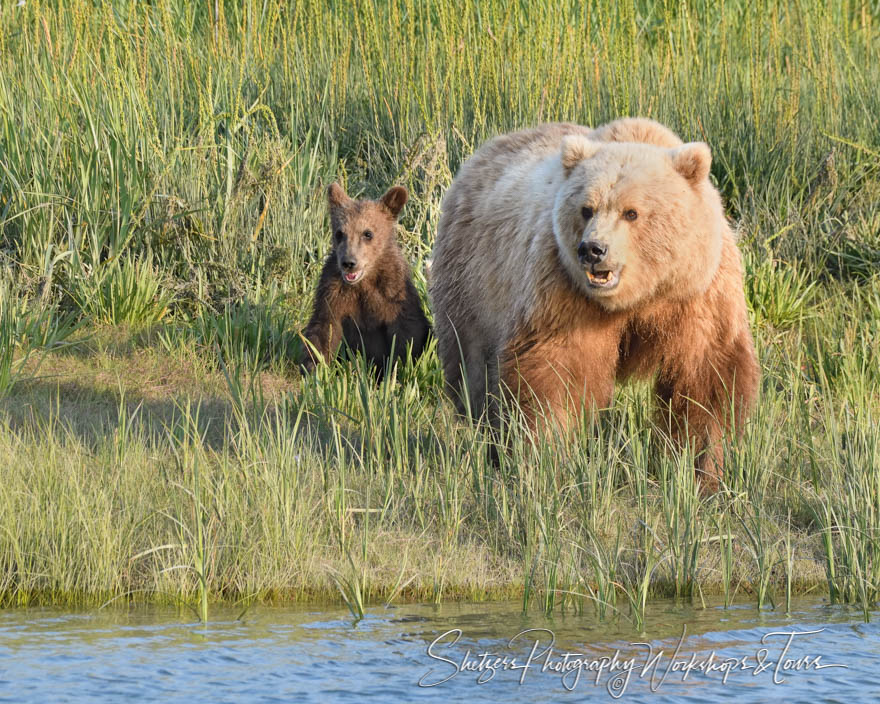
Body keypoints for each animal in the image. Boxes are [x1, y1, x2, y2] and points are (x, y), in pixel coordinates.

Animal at [302, 182, 434, 380]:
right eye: (340, 233)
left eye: (367, 233)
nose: (349, 262)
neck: (364, 280)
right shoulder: (334, 291)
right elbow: (325, 328)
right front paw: (314, 369)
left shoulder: (392, 292)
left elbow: (407, 332)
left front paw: (397, 371)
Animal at [430, 117, 760, 490]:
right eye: (586, 209)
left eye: (631, 212)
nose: (592, 249)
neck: (640, 296)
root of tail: (484, 151)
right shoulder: (565, 290)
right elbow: (556, 371)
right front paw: (548, 456)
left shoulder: (696, 294)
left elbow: (706, 378)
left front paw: (702, 468)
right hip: (475, 280)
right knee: (473, 366)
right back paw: (488, 436)